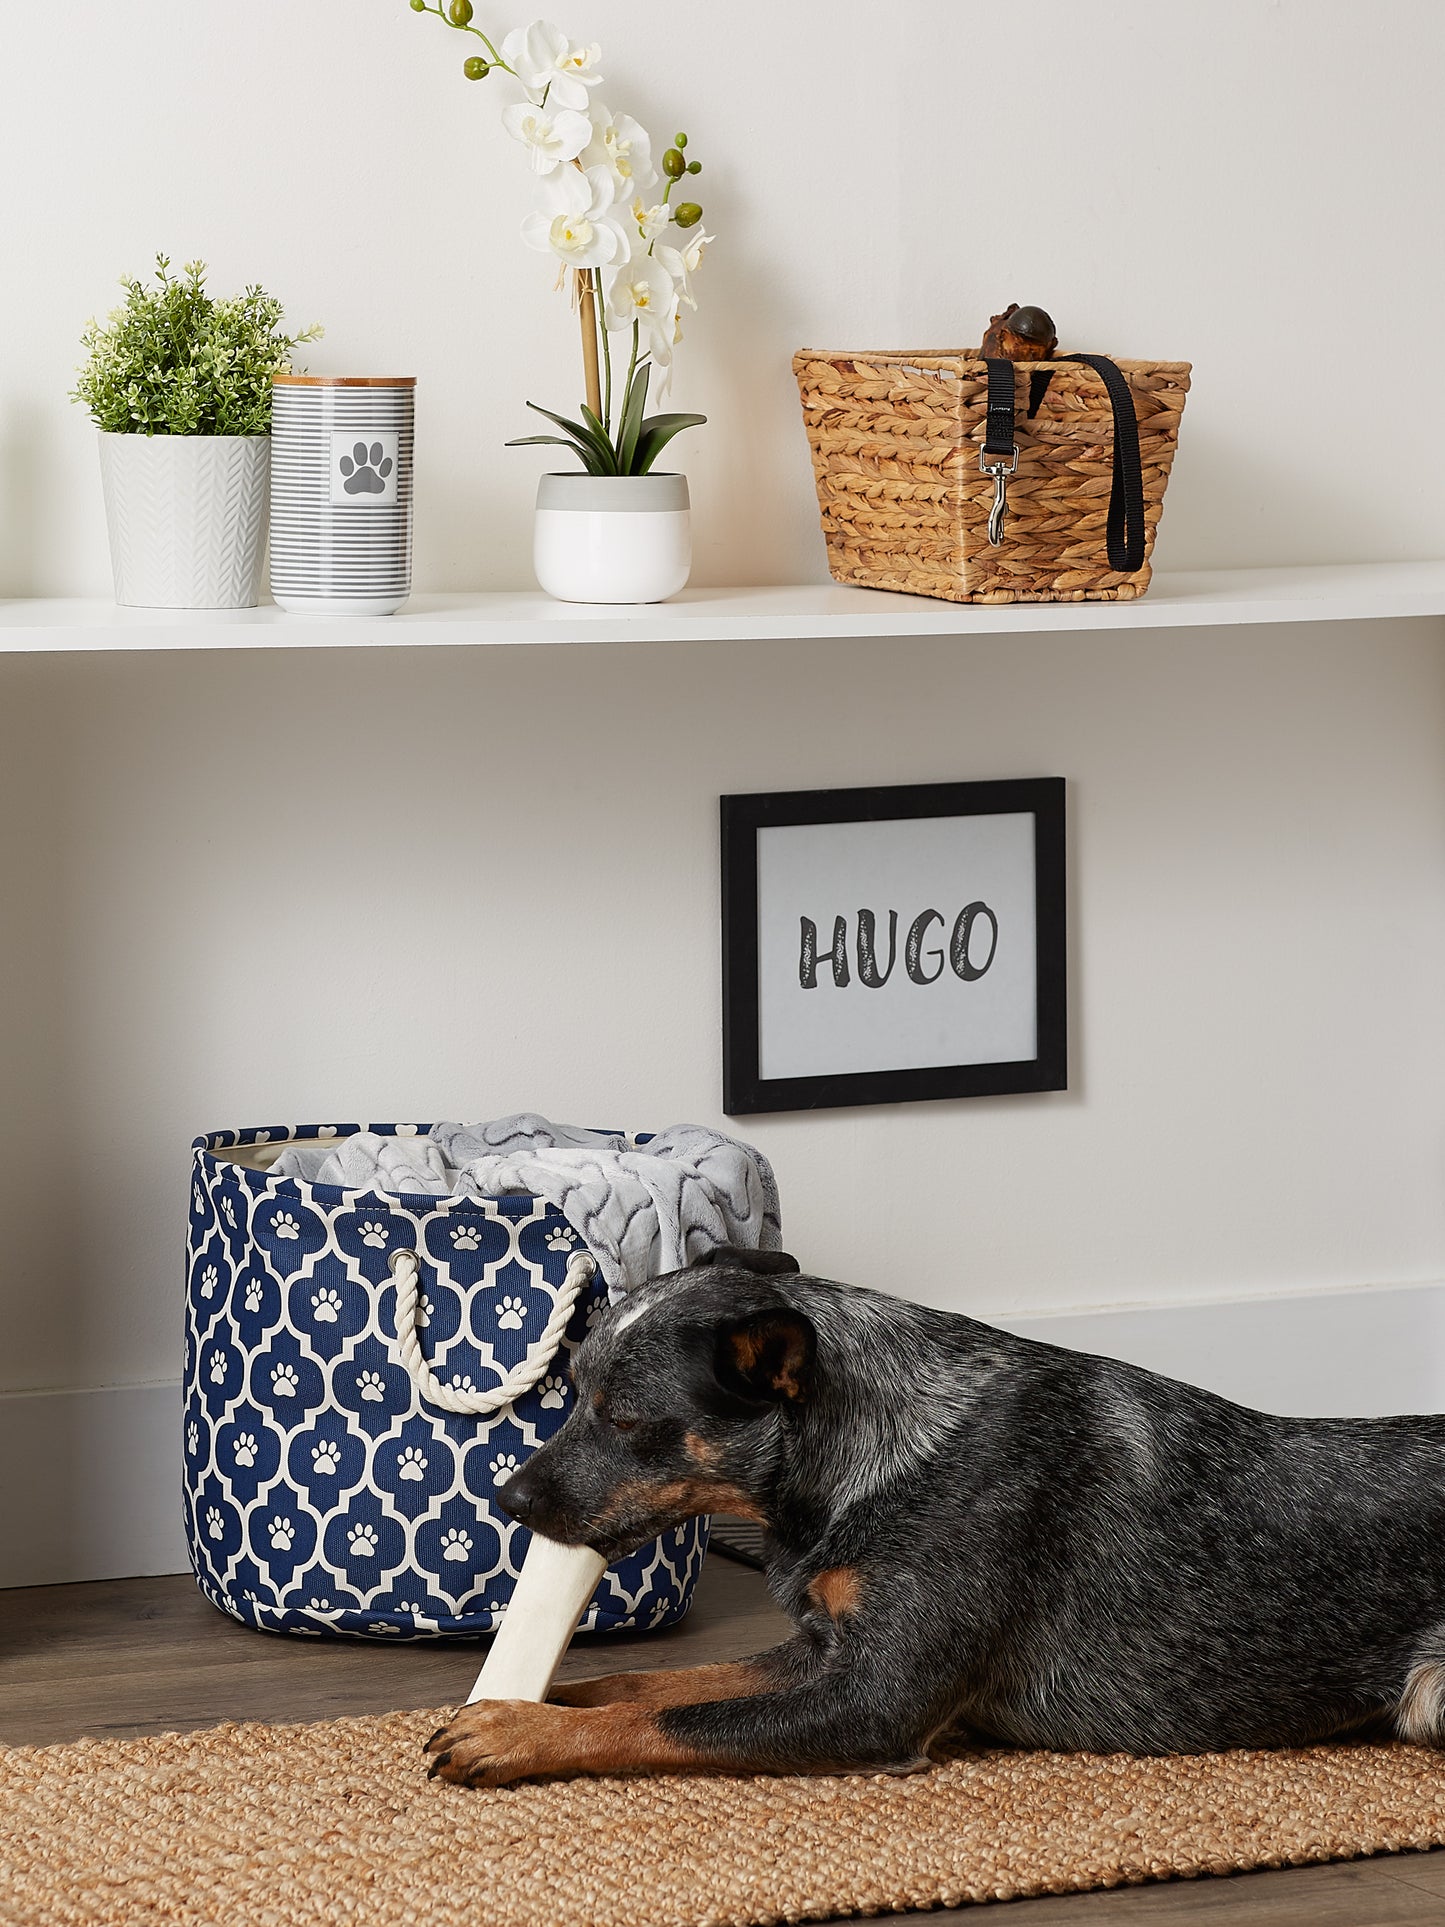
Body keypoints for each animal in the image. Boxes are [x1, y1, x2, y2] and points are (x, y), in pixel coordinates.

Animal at [423, 1248, 1445, 1788]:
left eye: (628, 1420)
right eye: (572, 1389)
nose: (507, 1499)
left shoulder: (875, 1700)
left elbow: (669, 1719)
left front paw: (514, 1732)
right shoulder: (823, 1646)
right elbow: (647, 1684)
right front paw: (529, 1695)